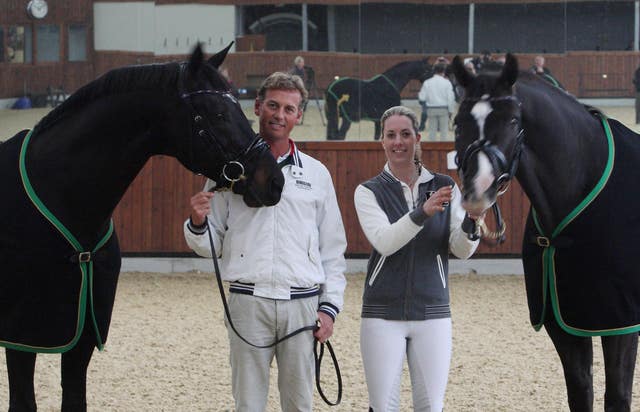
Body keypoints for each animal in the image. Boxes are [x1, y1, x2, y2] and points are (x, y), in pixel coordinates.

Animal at [450, 52, 640, 412]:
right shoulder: (562, 321)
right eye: (458, 122)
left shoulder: (620, 321)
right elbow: (580, 392)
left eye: (512, 121)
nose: (476, 191)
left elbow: (617, 397)